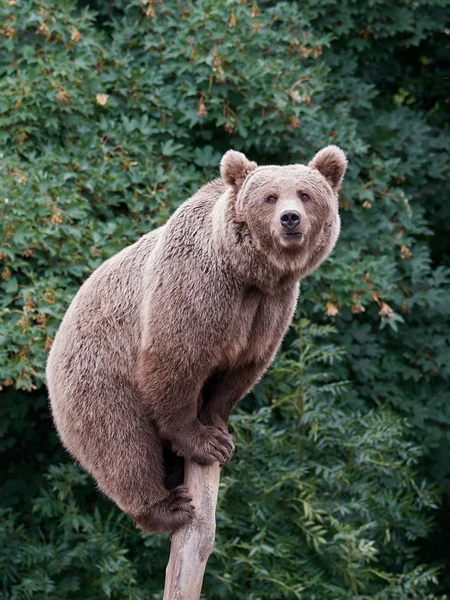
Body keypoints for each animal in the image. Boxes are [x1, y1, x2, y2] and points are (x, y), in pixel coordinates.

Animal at [45, 148, 346, 532]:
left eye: (305, 194)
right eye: (270, 197)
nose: (290, 219)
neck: (249, 273)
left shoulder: (269, 310)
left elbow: (242, 370)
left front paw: (219, 429)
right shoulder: (198, 288)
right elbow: (175, 361)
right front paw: (205, 443)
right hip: (99, 375)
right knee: (121, 442)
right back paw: (165, 506)